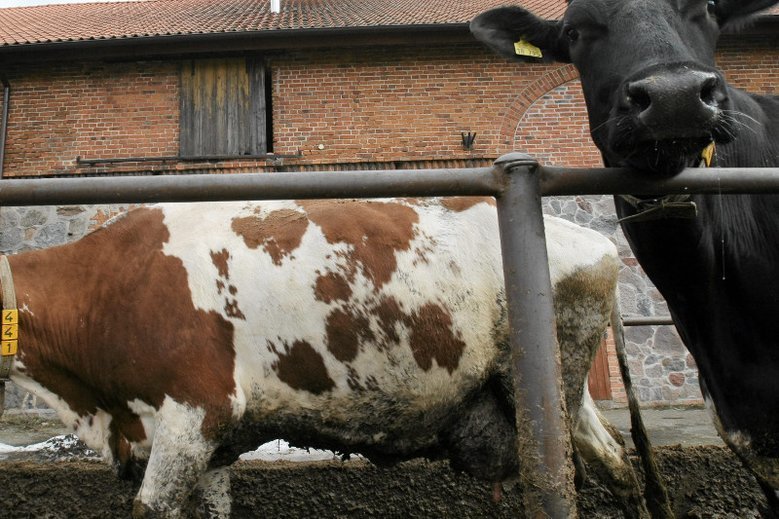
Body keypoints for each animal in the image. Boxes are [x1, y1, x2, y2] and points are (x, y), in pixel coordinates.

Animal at [3, 198, 636, 516]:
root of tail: (595, 240)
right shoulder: (208, 441)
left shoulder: (193, 412)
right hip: (567, 398)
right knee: (615, 459)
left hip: (543, 391)